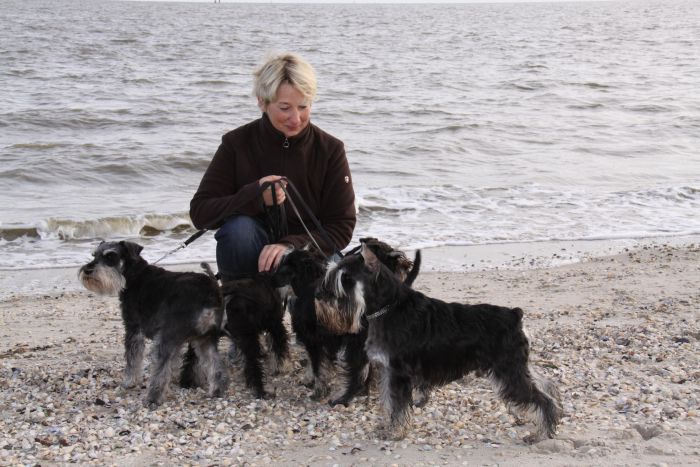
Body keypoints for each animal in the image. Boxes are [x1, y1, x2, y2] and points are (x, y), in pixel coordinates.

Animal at [78, 241, 228, 407]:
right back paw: (216, 391)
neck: (134, 275)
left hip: (166, 338)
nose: (87, 270)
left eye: (111, 256)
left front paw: (129, 381)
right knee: (215, 364)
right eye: (94, 255)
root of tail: (210, 293)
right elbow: (173, 362)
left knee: (160, 370)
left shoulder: (134, 329)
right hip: (205, 339)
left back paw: (153, 398)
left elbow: (134, 359)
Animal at [273, 239, 420, 407]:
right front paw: (309, 380)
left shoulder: (314, 340)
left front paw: (318, 391)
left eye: (284, 265)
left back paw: (344, 397)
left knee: (358, 372)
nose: (271, 279)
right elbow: (313, 362)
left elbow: (318, 367)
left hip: (355, 344)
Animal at [314, 244, 562, 442]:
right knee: (543, 384)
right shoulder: (387, 371)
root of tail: (515, 315)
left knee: (542, 399)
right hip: (516, 366)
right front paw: (388, 426)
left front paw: (395, 432)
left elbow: (397, 405)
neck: (389, 308)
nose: (319, 296)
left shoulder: (398, 373)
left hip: (508, 370)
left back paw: (541, 433)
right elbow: (388, 402)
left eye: (344, 278)